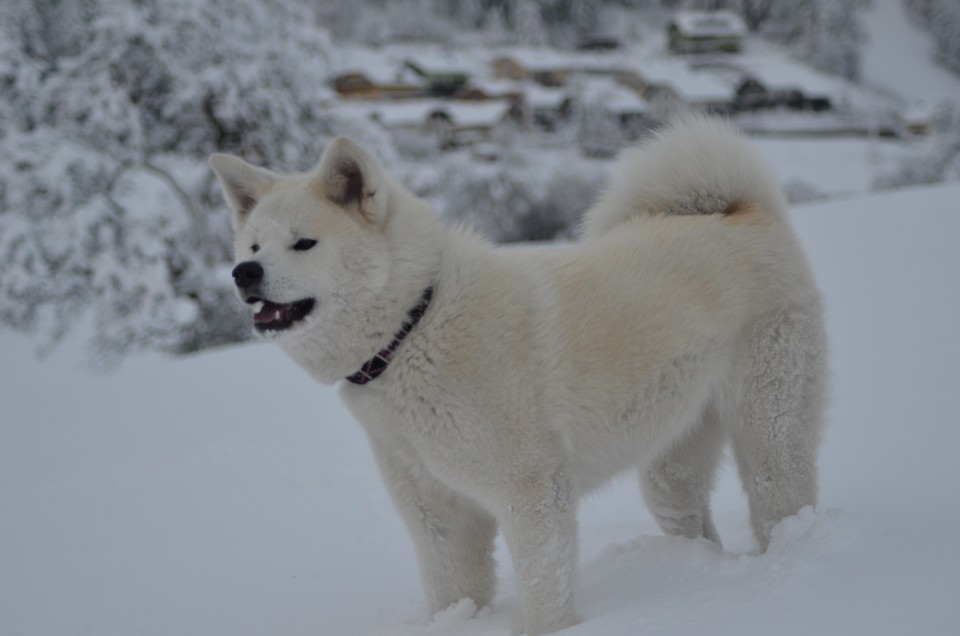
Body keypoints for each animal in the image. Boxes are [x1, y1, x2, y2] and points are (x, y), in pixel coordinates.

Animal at [210, 117, 824, 632]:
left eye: (304, 243)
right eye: (254, 244)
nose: (244, 272)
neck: (414, 325)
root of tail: (743, 211)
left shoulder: (531, 493)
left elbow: (544, 587)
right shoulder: (438, 518)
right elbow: (454, 594)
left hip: (770, 429)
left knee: (782, 495)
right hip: (670, 467)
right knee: (689, 513)